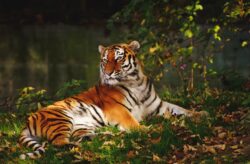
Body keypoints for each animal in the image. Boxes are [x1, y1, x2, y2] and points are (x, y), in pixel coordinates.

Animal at [19, 40, 207, 159]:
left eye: (118, 58)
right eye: (104, 60)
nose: (108, 73)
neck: (136, 82)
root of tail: (27, 121)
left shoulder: (158, 106)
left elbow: (181, 109)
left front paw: (201, 114)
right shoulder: (118, 110)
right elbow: (133, 123)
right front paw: (149, 129)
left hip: (82, 125)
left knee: (82, 137)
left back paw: (110, 135)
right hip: (60, 118)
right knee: (58, 143)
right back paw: (77, 147)